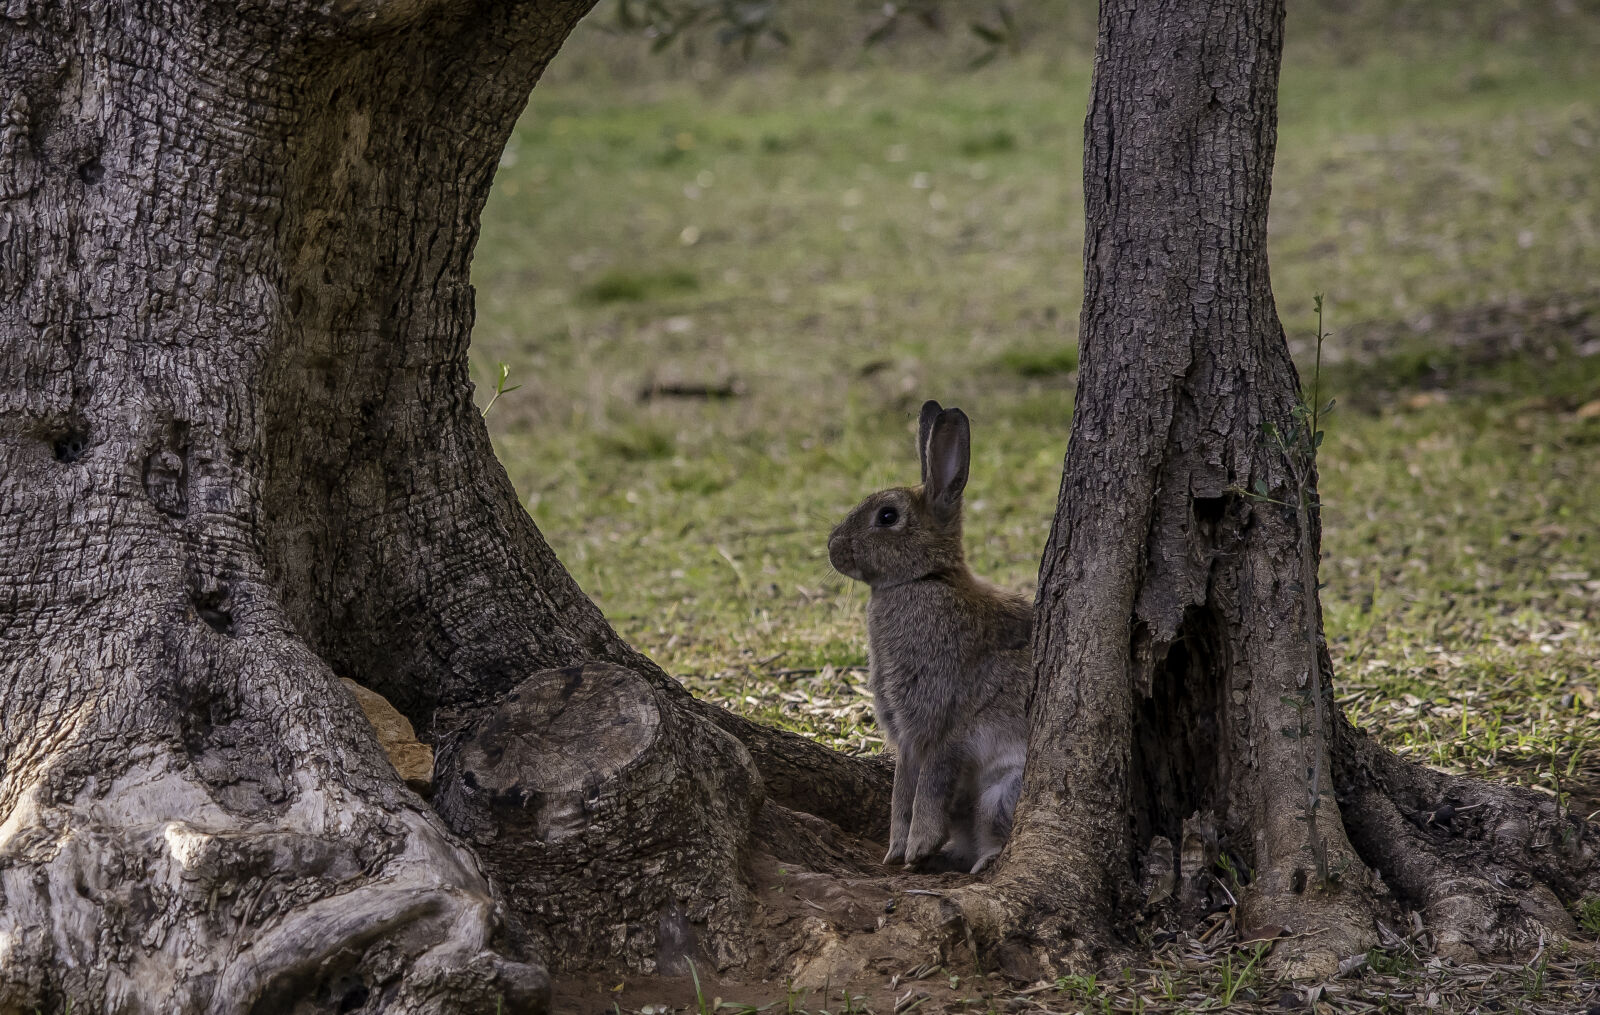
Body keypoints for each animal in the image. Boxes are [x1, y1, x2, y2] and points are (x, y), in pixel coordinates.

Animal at [827, 400, 1032, 874]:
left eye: (887, 516)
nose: (832, 548)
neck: (924, 579)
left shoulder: (941, 722)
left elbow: (927, 789)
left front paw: (918, 848)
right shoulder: (905, 737)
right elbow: (902, 791)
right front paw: (894, 852)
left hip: (1001, 791)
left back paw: (980, 861)